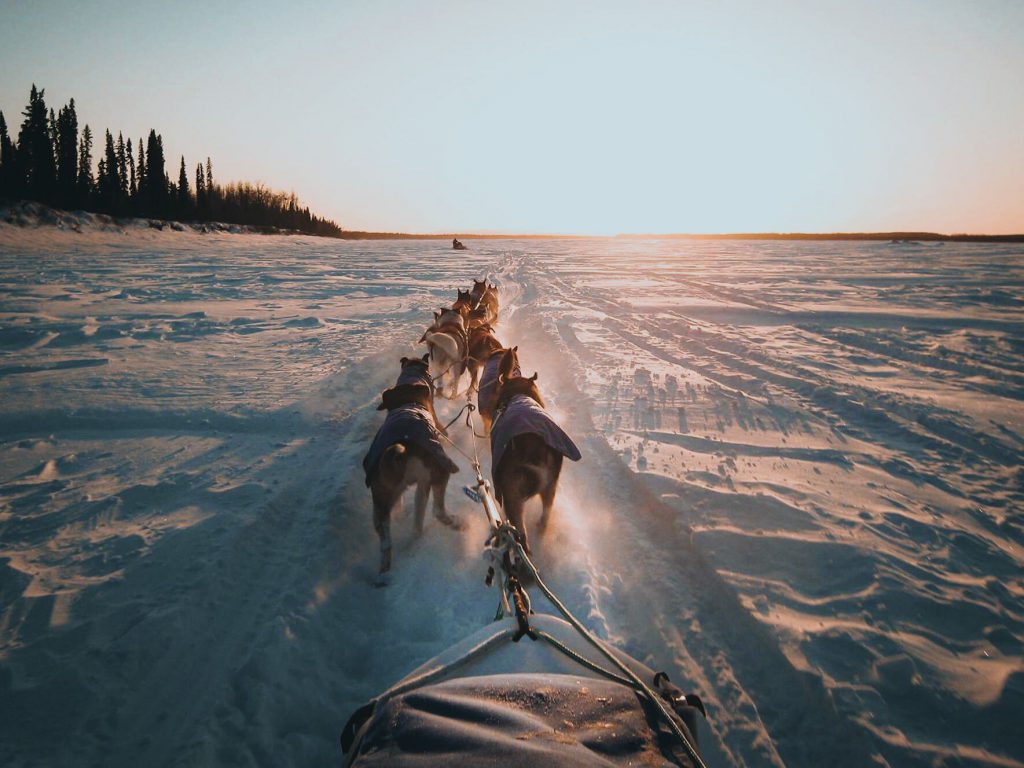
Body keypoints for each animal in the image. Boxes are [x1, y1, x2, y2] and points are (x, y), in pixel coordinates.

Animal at [362, 358, 462, 573]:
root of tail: (401, 451)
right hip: (440, 471)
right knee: (437, 511)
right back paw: (456, 523)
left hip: (381, 503)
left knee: (388, 541)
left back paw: (386, 569)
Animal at [491, 348, 581, 552]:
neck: (517, 394)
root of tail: (536, 448)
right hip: (550, 489)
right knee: (545, 516)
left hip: (513, 498)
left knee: (520, 533)